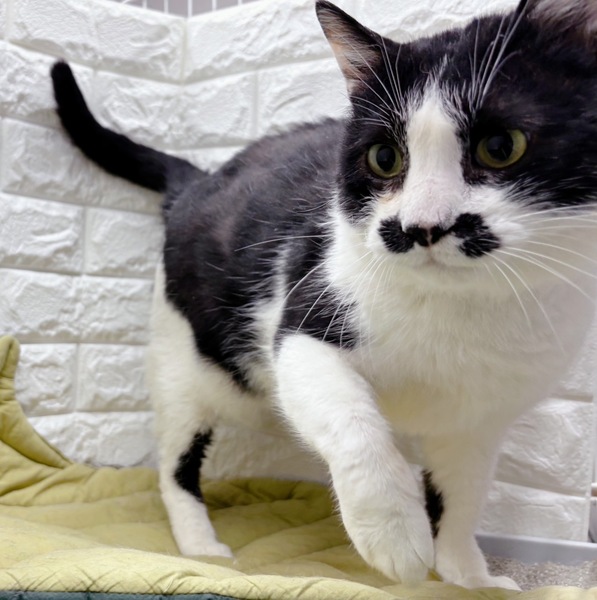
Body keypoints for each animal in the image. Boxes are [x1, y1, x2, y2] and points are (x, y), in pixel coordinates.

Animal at [50, 0, 597, 590]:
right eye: (384, 158)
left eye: (500, 147)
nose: (421, 226)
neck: (460, 315)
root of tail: (199, 180)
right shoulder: (306, 329)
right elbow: (354, 426)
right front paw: (397, 536)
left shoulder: (478, 422)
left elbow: (464, 496)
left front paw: (468, 576)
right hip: (183, 364)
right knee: (176, 462)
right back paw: (200, 545)